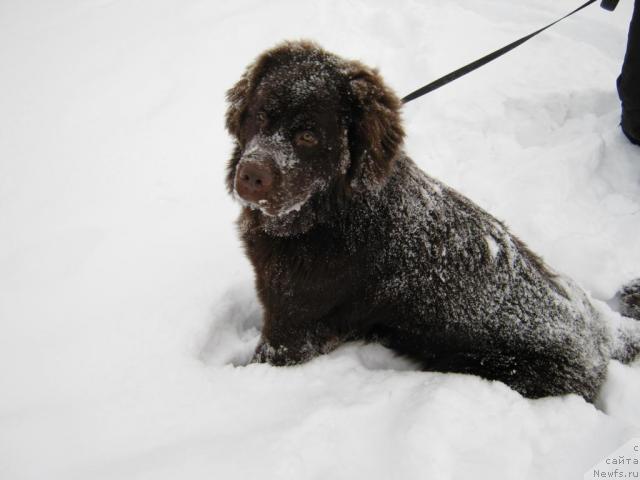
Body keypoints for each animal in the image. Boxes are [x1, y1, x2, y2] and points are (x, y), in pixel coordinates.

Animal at [224, 40, 636, 402]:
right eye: (260, 116)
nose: (250, 175)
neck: (330, 212)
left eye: (308, 135)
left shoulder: (295, 327)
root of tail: (603, 334)